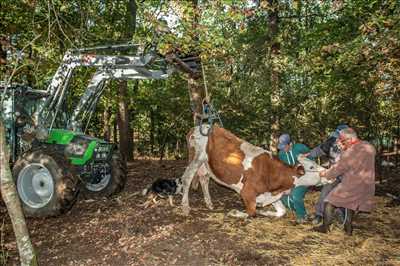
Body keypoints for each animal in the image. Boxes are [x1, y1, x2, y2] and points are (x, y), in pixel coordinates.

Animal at [180, 125, 324, 218]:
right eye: (312, 167)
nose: (325, 172)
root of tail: (199, 126)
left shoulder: (268, 194)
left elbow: (281, 211)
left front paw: (265, 212)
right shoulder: (247, 192)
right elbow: (251, 213)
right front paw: (235, 213)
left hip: (206, 163)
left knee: (204, 179)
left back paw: (209, 204)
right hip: (196, 157)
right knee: (187, 178)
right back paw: (185, 207)